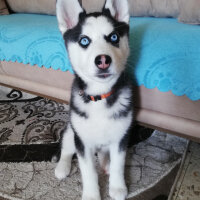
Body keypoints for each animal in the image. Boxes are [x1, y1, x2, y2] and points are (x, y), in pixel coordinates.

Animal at [54, 0, 133, 199]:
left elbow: (119, 164)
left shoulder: (121, 136)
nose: (103, 60)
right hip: (71, 129)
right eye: (84, 40)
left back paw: (106, 163)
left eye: (114, 37)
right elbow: (88, 170)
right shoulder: (82, 141)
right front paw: (91, 194)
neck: (100, 96)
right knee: (66, 148)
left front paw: (117, 187)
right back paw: (62, 166)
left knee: (105, 153)